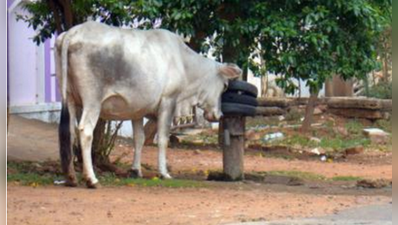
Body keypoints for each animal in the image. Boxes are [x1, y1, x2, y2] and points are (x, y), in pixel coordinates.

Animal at [55, 21, 243, 188]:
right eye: (225, 86)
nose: (219, 115)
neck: (184, 62)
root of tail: (72, 32)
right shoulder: (169, 101)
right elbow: (162, 139)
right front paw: (164, 173)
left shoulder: (136, 110)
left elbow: (139, 139)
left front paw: (135, 170)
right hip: (92, 101)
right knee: (85, 131)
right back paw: (91, 179)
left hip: (69, 98)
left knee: (69, 131)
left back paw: (71, 178)